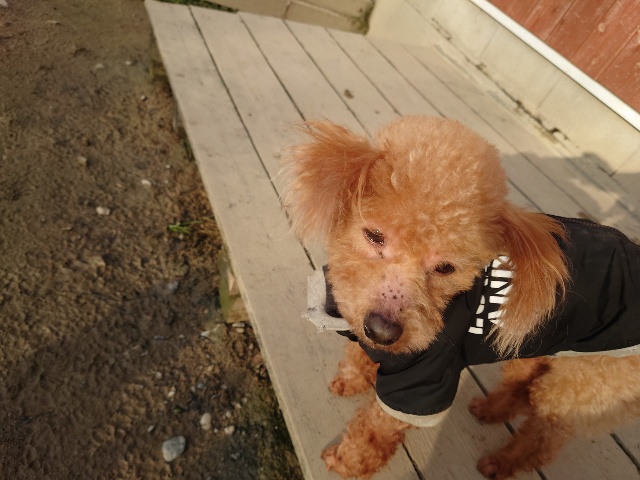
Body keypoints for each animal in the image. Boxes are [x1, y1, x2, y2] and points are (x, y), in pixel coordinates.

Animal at [283, 115, 640, 479]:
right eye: (374, 235)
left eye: (446, 268)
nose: (383, 331)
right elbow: (360, 355)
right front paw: (350, 380)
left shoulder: (422, 383)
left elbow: (375, 429)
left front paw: (347, 461)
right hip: (536, 346)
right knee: (522, 384)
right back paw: (490, 410)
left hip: (586, 387)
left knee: (545, 434)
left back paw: (502, 462)